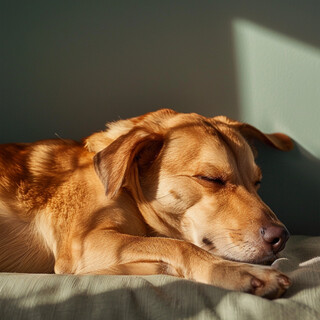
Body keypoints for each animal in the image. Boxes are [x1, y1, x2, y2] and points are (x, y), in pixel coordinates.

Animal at [0, 110, 292, 300]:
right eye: (211, 179)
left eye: (257, 182)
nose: (281, 237)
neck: (127, 187)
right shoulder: (82, 243)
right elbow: (179, 246)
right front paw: (235, 272)